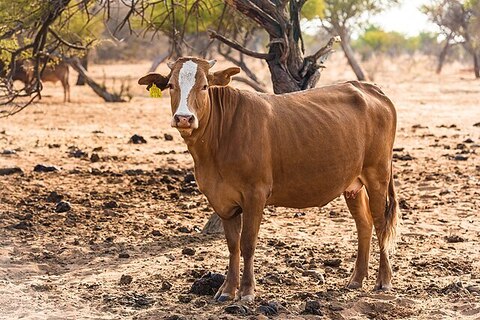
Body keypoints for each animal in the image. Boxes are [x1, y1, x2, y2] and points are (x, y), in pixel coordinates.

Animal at [138, 58, 398, 302]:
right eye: (171, 85)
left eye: (204, 86)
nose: (184, 118)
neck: (216, 143)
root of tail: (369, 88)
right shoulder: (222, 199)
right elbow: (232, 245)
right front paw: (227, 290)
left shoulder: (255, 193)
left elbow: (247, 243)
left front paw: (247, 291)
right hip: (352, 184)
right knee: (363, 223)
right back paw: (356, 279)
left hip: (377, 174)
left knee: (380, 223)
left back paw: (384, 280)